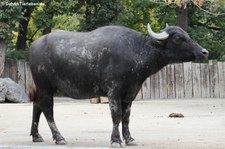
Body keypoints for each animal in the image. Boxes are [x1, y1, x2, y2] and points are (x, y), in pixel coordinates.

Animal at [29, 23, 208, 147]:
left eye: (187, 35)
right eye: (178, 38)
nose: (204, 52)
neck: (135, 50)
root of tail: (34, 45)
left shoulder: (130, 94)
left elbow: (126, 117)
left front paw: (129, 139)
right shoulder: (113, 91)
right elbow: (116, 116)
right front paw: (116, 140)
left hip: (42, 88)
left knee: (37, 106)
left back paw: (36, 136)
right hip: (45, 86)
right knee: (47, 110)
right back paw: (59, 137)